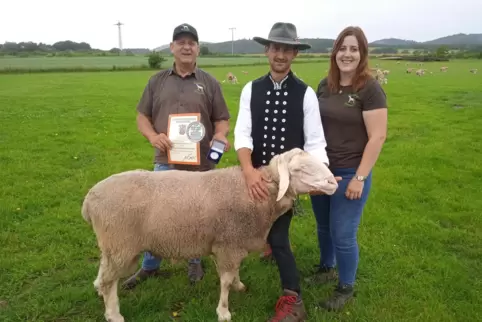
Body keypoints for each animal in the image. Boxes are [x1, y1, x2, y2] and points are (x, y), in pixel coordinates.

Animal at [82, 148, 338, 322]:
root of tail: (89, 200)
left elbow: (233, 272)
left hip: (112, 247)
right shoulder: (228, 244)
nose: (333, 182)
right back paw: (113, 314)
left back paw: (99, 292)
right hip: (121, 244)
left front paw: (238, 285)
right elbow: (224, 280)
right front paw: (223, 311)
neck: (257, 194)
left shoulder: (231, 243)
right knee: (109, 281)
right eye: (300, 169)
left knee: (104, 274)